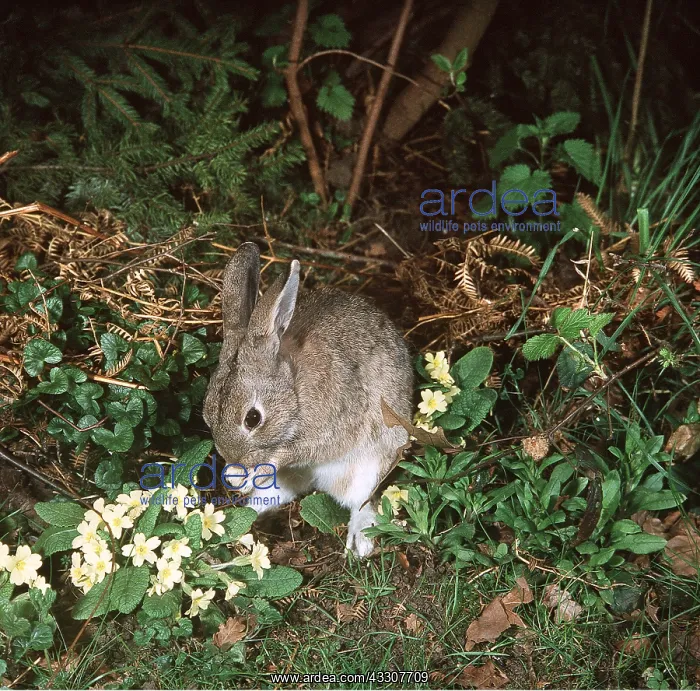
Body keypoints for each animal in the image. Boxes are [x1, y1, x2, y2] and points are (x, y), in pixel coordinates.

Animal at [203, 242, 413, 557]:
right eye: (207, 415)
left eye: (253, 419)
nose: (233, 461)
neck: (293, 387)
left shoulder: (333, 427)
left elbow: (293, 453)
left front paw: (250, 473)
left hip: (369, 465)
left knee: (361, 502)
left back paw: (359, 543)